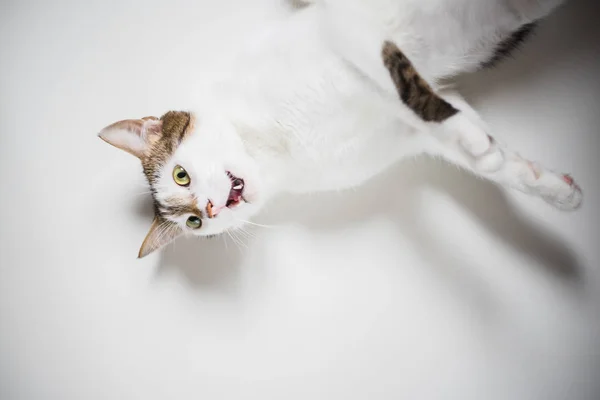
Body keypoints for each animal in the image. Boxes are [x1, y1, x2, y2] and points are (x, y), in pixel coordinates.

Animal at [98, 0, 580, 258]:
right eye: (194, 223)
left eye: (181, 175)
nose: (211, 209)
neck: (274, 147)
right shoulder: (407, 135)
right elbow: (480, 153)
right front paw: (552, 188)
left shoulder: (343, 29)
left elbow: (399, 82)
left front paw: (474, 139)